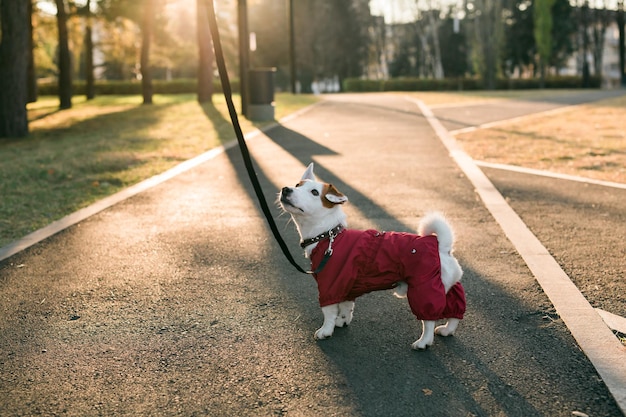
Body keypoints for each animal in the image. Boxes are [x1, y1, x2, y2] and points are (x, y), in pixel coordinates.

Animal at [278, 162, 464, 348]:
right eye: (297, 185)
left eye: (315, 192)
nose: (286, 189)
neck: (328, 235)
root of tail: (441, 246)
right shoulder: (346, 287)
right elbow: (346, 307)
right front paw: (342, 321)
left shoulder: (330, 284)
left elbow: (328, 311)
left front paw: (325, 330)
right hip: (446, 287)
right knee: (455, 310)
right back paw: (447, 330)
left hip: (423, 288)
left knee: (429, 320)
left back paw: (423, 342)